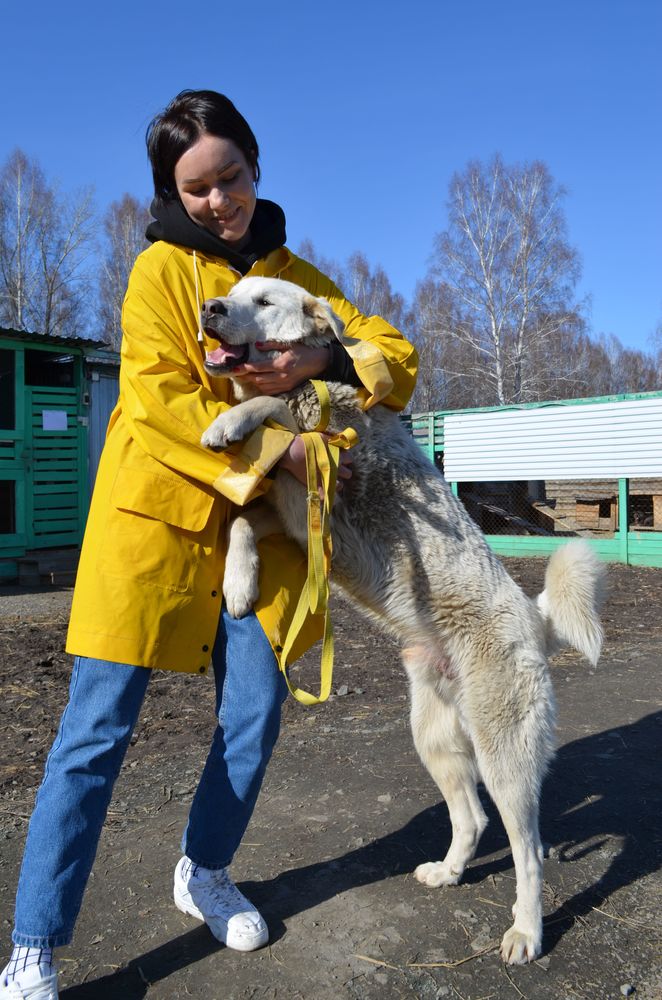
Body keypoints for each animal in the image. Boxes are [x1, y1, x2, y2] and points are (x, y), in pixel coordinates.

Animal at [199, 275, 606, 964]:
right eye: (232, 291)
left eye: (262, 301)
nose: (210, 308)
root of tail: (534, 618)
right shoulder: (293, 511)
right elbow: (244, 524)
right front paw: (238, 584)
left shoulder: (329, 459)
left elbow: (277, 406)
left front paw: (229, 421)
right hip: (434, 738)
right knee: (471, 819)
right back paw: (448, 871)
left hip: (504, 755)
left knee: (526, 849)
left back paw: (526, 931)